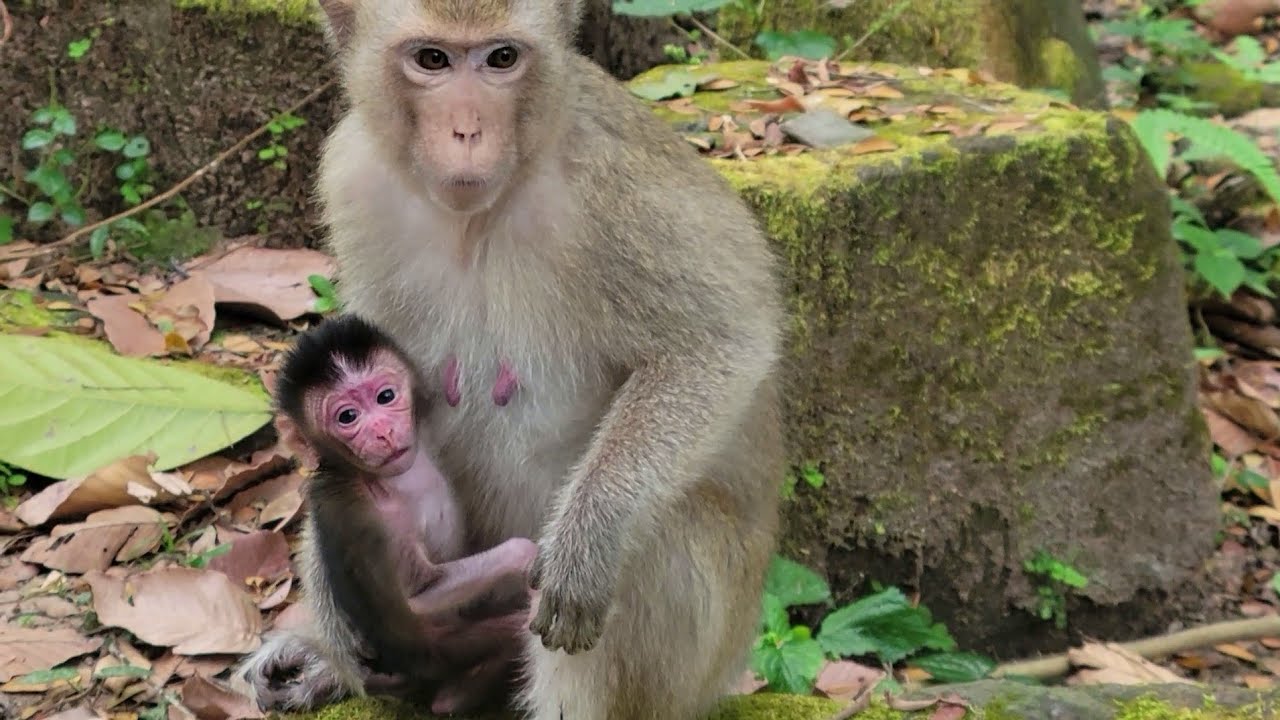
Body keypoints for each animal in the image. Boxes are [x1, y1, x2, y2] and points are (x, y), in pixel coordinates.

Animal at [246, 314, 538, 713]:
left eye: (385, 396)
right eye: (347, 417)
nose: (383, 431)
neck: (393, 481)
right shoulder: (357, 515)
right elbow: (414, 605)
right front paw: (528, 555)